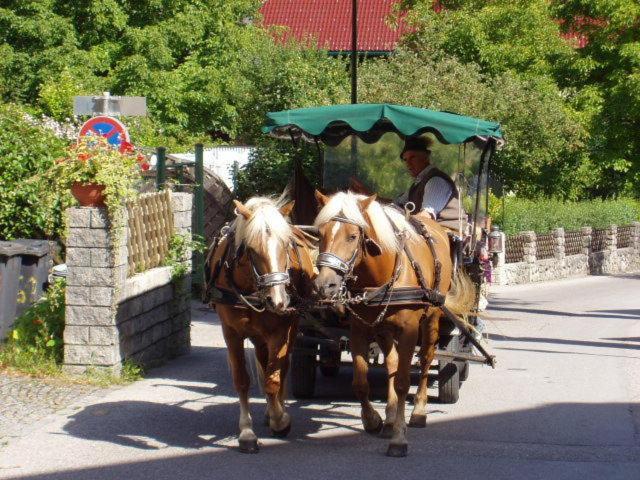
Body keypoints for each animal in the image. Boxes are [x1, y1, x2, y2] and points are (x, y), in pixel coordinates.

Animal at [208, 197, 316, 452]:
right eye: (250, 249)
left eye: (286, 245)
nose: (278, 300)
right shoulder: (231, 333)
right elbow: (242, 381)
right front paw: (247, 432)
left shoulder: (280, 331)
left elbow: (272, 380)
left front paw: (280, 420)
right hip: (258, 336)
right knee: (262, 358)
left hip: (291, 328)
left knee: (281, 368)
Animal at [312, 190, 472, 458]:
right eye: (320, 233)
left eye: (353, 236)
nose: (326, 285)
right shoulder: (359, 330)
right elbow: (361, 382)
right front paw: (373, 421)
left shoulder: (408, 331)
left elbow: (403, 382)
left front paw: (399, 438)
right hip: (383, 329)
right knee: (393, 363)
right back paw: (388, 419)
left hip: (431, 320)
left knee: (426, 360)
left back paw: (418, 412)